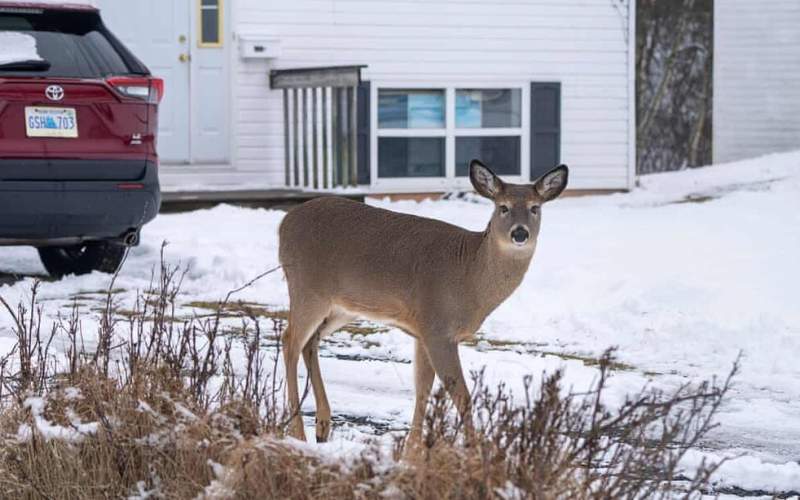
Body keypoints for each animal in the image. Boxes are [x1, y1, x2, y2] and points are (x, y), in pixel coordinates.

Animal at [278, 160, 564, 450]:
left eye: (535, 208)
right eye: (503, 207)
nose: (520, 233)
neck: (470, 276)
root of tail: (284, 223)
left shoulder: (423, 331)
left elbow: (422, 391)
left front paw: (410, 451)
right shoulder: (438, 327)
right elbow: (462, 396)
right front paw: (473, 451)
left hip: (341, 307)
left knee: (310, 342)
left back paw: (322, 426)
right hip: (307, 289)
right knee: (290, 341)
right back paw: (298, 432)